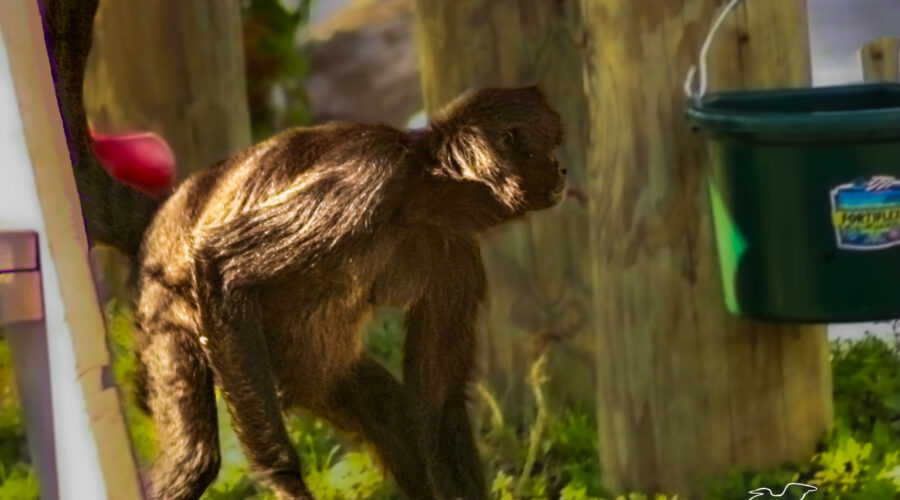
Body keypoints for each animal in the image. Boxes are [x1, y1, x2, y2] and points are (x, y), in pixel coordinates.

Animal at [42, 0, 568, 496]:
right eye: (549, 151)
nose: (563, 171)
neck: (424, 192)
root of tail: (169, 213)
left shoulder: (455, 251)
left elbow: (436, 408)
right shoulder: (369, 180)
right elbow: (220, 265)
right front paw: (282, 477)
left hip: (308, 368)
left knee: (390, 413)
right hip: (174, 315)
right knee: (194, 459)